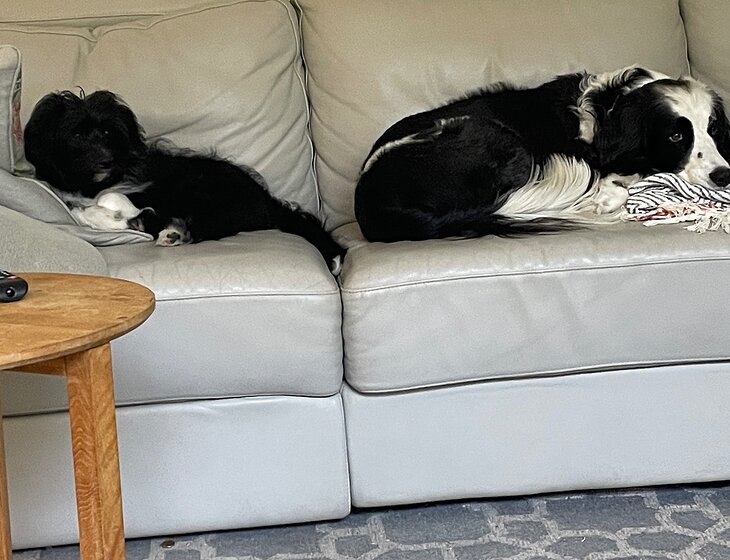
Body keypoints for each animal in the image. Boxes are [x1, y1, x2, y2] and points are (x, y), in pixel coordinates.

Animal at [24, 90, 345, 272]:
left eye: (106, 133)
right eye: (77, 135)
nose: (106, 162)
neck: (94, 184)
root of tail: (266, 201)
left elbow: (112, 199)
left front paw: (118, 211)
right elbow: (85, 211)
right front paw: (108, 216)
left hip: (204, 190)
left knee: (208, 225)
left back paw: (171, 232)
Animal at [355, 66, 730, 242]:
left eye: (713, 129)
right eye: (676, 135)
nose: (724, 176)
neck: (613, 107)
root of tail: (370, 202)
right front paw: (608, 196)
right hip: (499, 140)